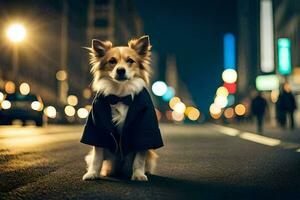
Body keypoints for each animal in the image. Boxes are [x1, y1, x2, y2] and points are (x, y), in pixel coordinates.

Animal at [80, 36, 164, 181]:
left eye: (130, 61)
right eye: (112, 61)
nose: (120, 70)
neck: (120, 95)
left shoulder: (142, 128)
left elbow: (139, 159)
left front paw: (138, 175)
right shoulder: (97, 128)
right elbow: (97, 158)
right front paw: (92, 173)